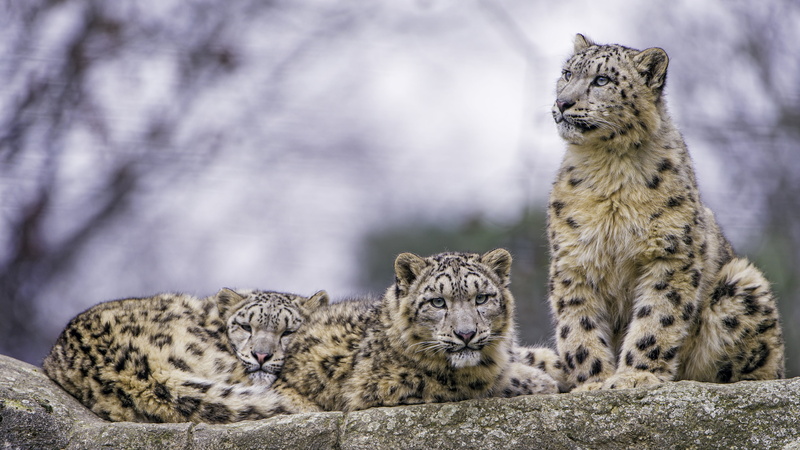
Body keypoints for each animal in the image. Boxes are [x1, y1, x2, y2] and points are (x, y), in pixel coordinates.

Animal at [259, 249, 558, 416]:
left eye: (482, 298)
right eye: (437, 302)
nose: (465, 334)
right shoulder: (395, 383)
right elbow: (485, 383)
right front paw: (541, 382)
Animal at [546, 34, 785, 392]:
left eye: (601, 80)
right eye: (566, 74)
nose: (562, 103)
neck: (608, 171)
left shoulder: (669, 255)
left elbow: (657, 318)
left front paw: (634, 376)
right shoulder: (574, 260)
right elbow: (578, 324)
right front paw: (592, 383)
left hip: (742, 283)